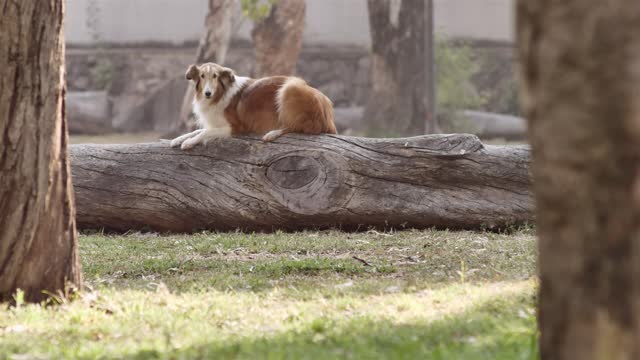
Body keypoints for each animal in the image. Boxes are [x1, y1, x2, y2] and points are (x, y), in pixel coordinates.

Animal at [170, 62, 340, 149]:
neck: (220, 94)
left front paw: (188, 142)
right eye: (202, 76)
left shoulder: (235, 127)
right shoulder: (215, 123)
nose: (207, 93)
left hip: (291, 87)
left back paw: (272, 133)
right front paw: (178, 139)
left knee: (297, 126)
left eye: (215, 76)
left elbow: (204, 132)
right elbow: (197, 130)